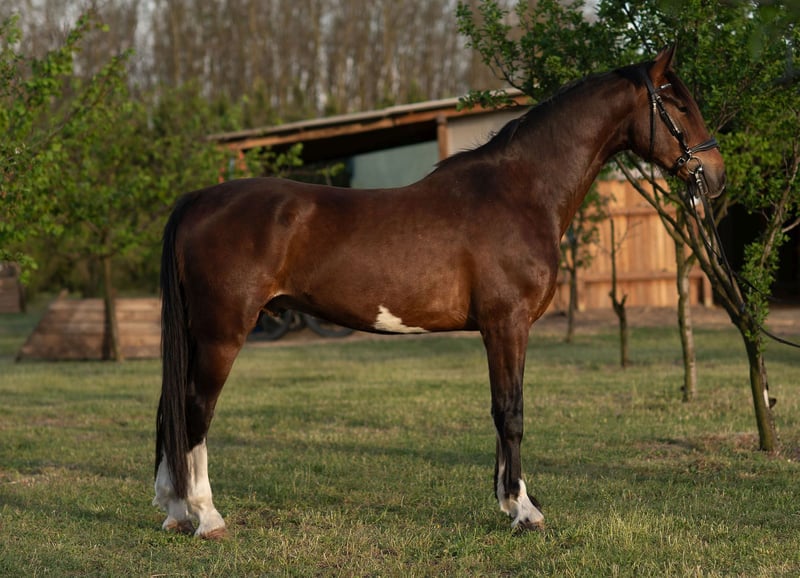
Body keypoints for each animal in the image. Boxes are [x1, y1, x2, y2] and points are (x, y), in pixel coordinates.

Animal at [153, 45, 725, 538]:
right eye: (677, 103)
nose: (715, 176)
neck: (520, 192)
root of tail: (197, 199)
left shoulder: (500, 330)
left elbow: (500, 410)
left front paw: (508, 500)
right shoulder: (507, 324)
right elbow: (511, 412)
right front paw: (524, 511)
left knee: (170, 409)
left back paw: (175, 511)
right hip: (222, 334)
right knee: (196, 409)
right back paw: (206, 516)